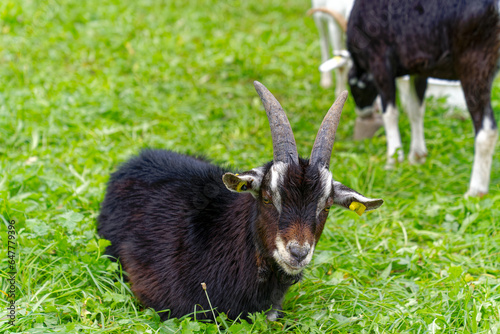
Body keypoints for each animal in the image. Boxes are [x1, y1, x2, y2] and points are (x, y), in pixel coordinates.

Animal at [346, 0, 498, 197]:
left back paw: (475, 190)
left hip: (475, 61)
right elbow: (415, 110)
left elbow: (391, 113)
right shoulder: (419, 68)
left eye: (355, 89)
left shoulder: (380, 60)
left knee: (486, 131)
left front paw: (393, 160)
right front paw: (417, 156)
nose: (363, 113)